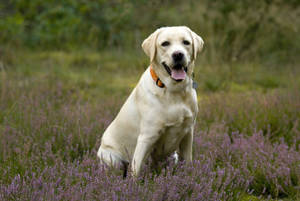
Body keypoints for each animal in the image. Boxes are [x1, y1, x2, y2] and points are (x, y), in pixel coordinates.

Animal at [98, 25, 204, 177]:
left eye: (186, 42)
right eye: (165, 43)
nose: (178, 54)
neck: (174, 91)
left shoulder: (188, 133)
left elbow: (188, 163)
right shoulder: (147, 136)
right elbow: (135, 172)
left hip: (173, 156)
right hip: (112, 159)